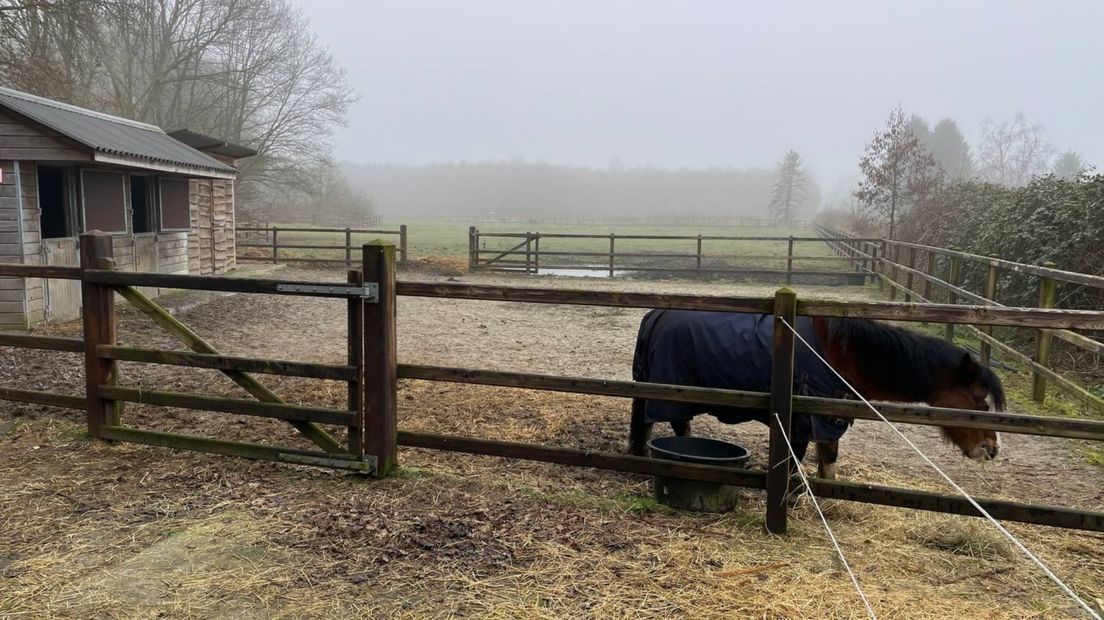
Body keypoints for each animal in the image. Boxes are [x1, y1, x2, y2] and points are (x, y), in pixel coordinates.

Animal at [627, 308, 1006, 478]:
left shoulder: (830, 419)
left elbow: (828, 461)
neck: (842, 356)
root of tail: (656, 315)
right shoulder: (802, 421)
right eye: (978, 399)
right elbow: (796, 462)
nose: (991, 449)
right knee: (673, 427)